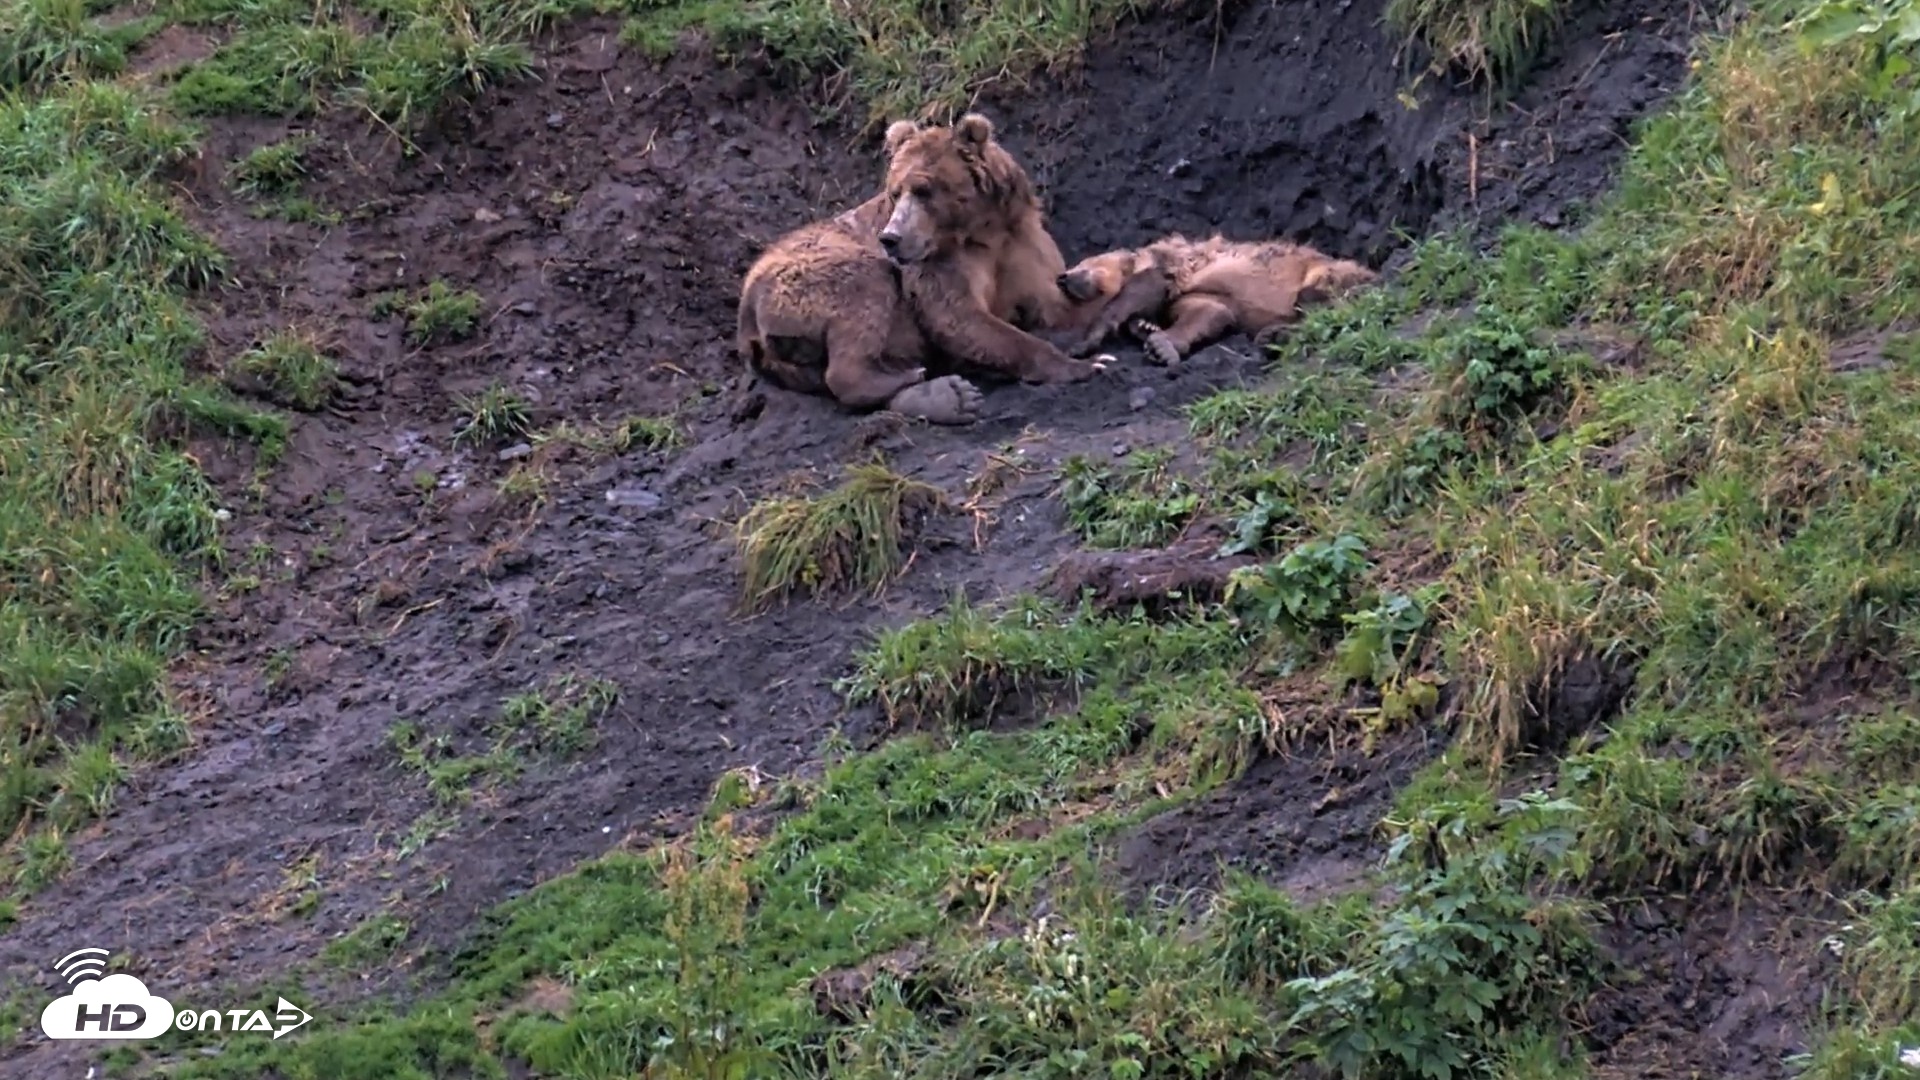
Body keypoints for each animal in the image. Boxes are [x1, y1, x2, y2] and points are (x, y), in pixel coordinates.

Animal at [735, 113, 1105, 426]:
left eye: (924, 189)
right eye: (895, 191)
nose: (891, 237)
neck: (983, 230)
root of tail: (746, 320)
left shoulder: (1023, 245)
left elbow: (1054, 303)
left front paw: (1089, 331)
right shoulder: (940, 264)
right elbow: (958, 317)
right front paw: (1082, 365)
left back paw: (942, 396)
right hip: (808, 279)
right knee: (865, 291)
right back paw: (911, 380)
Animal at [1052, 233, 1381, 367]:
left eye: (1083, 262)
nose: (1062, 277)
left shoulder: (1170, 266)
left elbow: (1135, 294)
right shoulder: (1190, 296)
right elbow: (1211, 312)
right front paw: (1147, 329)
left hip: (1324, 271)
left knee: (1317, 299)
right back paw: (1272, 335)